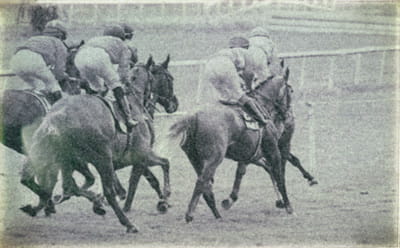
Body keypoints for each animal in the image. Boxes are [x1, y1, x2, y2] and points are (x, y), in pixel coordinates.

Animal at [19, 56, 177, 232]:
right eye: (170, 78)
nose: (174, 103)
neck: (133, 104)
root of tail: (56, 118)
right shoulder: (141, 155)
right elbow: (160, 167)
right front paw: (163, 200)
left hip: (65, 159)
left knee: (56, 184)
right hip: (101, 159)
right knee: (106, 191)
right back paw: (126, 222)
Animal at [169, 63, 294, 222]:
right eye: (291, 91)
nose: (287, 115)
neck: (262, 106)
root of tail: (194, 116)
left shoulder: (251, 156)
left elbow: (257, 171)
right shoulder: (273, 152)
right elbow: (280, 177)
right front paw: (288, 206)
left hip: (195, 159)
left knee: (206, 186)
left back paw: (217, 215)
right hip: (214, 158)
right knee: (202, 181)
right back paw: (190, 214)